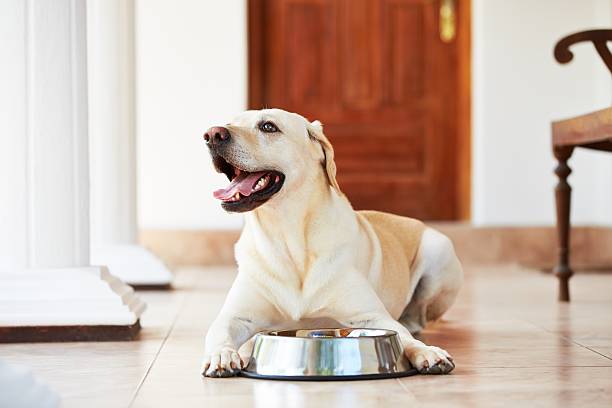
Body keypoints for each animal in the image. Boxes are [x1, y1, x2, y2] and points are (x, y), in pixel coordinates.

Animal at [201, 107, 464, 376]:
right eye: (230, 123)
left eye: (268, 126)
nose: (212, 134)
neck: (288, 238)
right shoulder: (234, 317)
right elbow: (218, 332)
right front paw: (222, 355)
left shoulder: (372, 316)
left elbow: (402, 337)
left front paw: (427, 352)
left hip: (439, 252)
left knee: (417, 319)